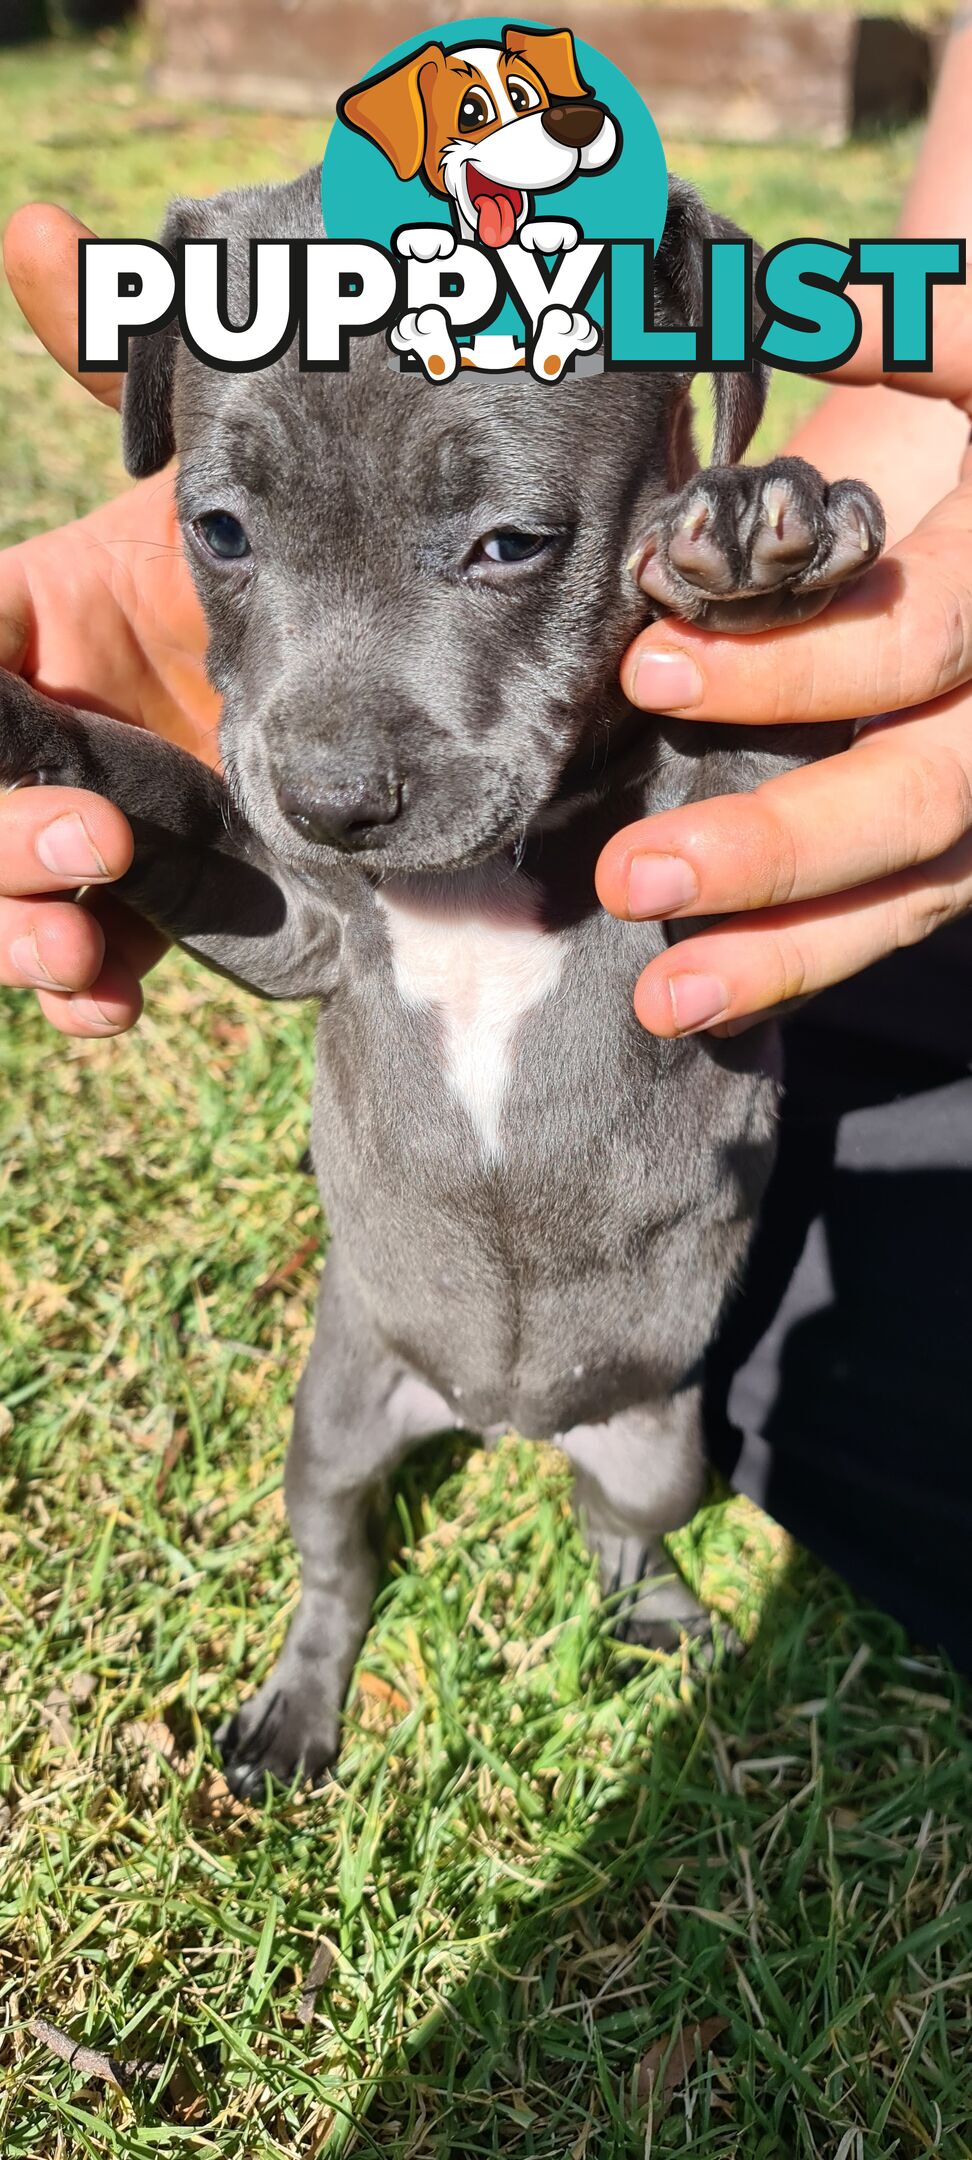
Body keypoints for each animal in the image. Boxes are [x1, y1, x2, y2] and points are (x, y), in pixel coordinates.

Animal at [0, 164, 881, 1788]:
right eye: (218, 532)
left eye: (513, 545)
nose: (333, 798)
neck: (476, 879)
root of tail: (503, 1418)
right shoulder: (292, 913)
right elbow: (156, 794)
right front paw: (23, 726)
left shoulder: (702, 915)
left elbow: (754, 753)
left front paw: (759, 564)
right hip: (336, 1417)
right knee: (338, 1566)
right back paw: (295, 1711)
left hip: (658, 1444)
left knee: (618, 1529)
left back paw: (669, 1627)